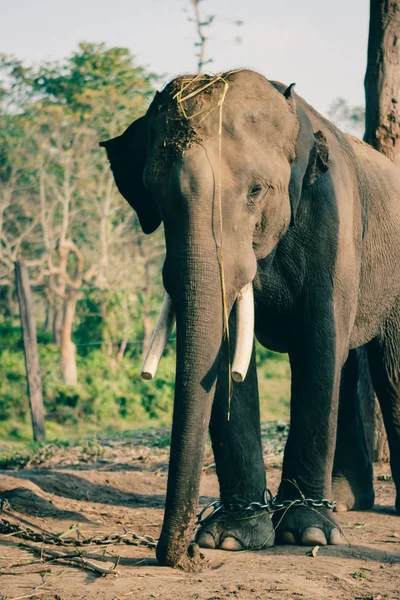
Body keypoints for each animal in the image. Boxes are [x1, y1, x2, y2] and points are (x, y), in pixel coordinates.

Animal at [101, 70, 400, 568]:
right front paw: (230, 538)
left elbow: (318, 343)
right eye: (154, 195)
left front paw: (307, 534)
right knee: (349, 362)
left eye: (256, 191)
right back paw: (344, 501)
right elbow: (227, 355)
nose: (184, 556)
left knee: (384, 365)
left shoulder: (331, 220)